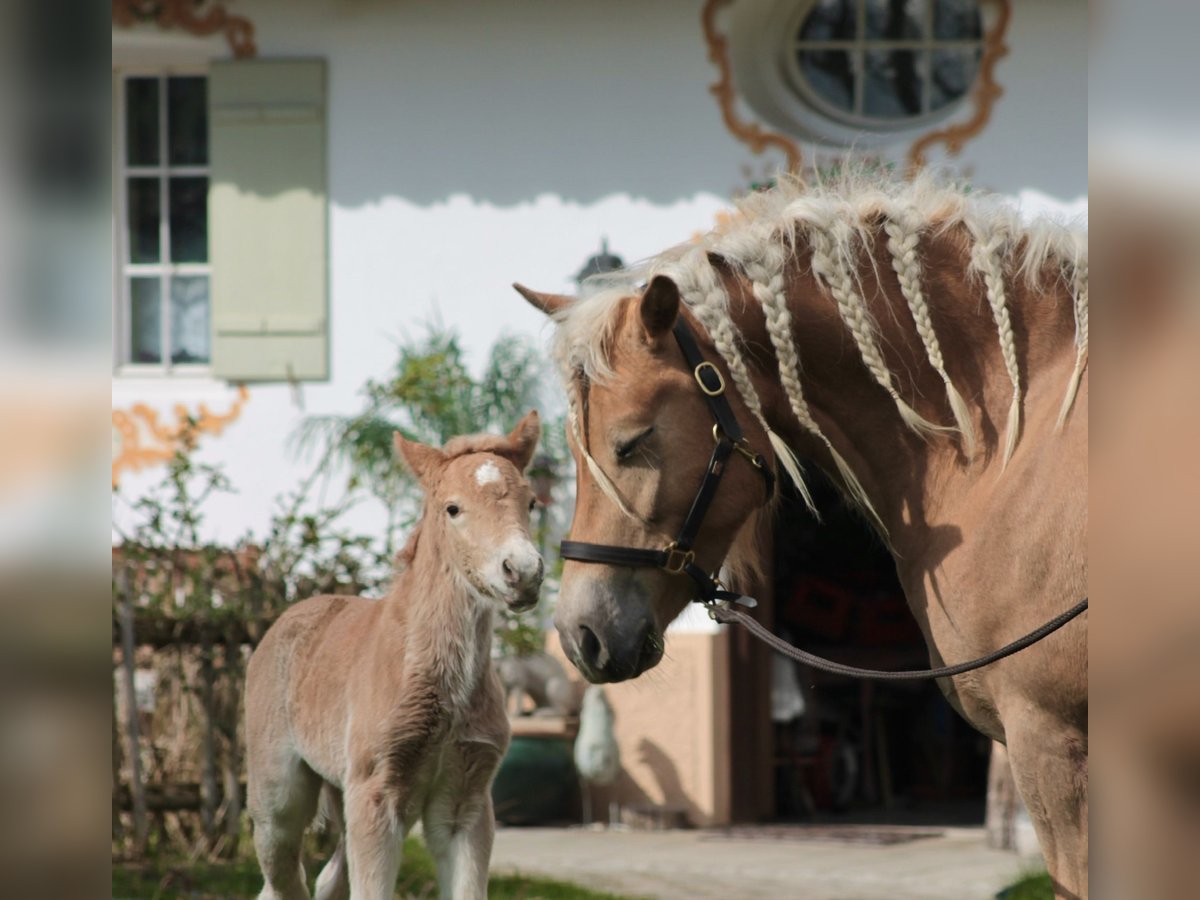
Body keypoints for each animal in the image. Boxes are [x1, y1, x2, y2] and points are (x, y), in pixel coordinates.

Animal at [246, 412, 547, 897]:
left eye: (532, 502)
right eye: (453, 508)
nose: (522, 572)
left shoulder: (466, 803)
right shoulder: (377, 794)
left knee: (329, 878)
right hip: (278, 801)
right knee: (283, 879)